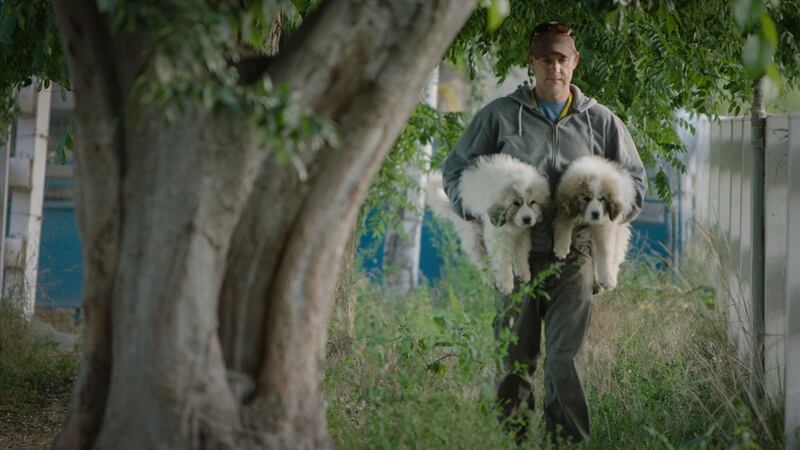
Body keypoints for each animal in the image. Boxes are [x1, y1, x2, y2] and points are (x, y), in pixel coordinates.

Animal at [424, 154, 552, 296]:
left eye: (533, 202)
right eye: (516, 203)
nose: (527, 219)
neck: (511, 222)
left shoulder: (521, 234)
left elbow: (521, 253)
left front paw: (523, 272)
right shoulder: (496, 236)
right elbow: (502, 261)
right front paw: (506, 284)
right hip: (473, 231)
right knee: (480, 258)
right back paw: (490, 278)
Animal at [552, 155, 636, 290]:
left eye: (602, 199)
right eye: (586, 198)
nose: (596, 214)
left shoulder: (606, 225)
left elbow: (605, 252)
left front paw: (607, 278)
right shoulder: (565, 210)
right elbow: (563, 226)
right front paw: (561, 248)